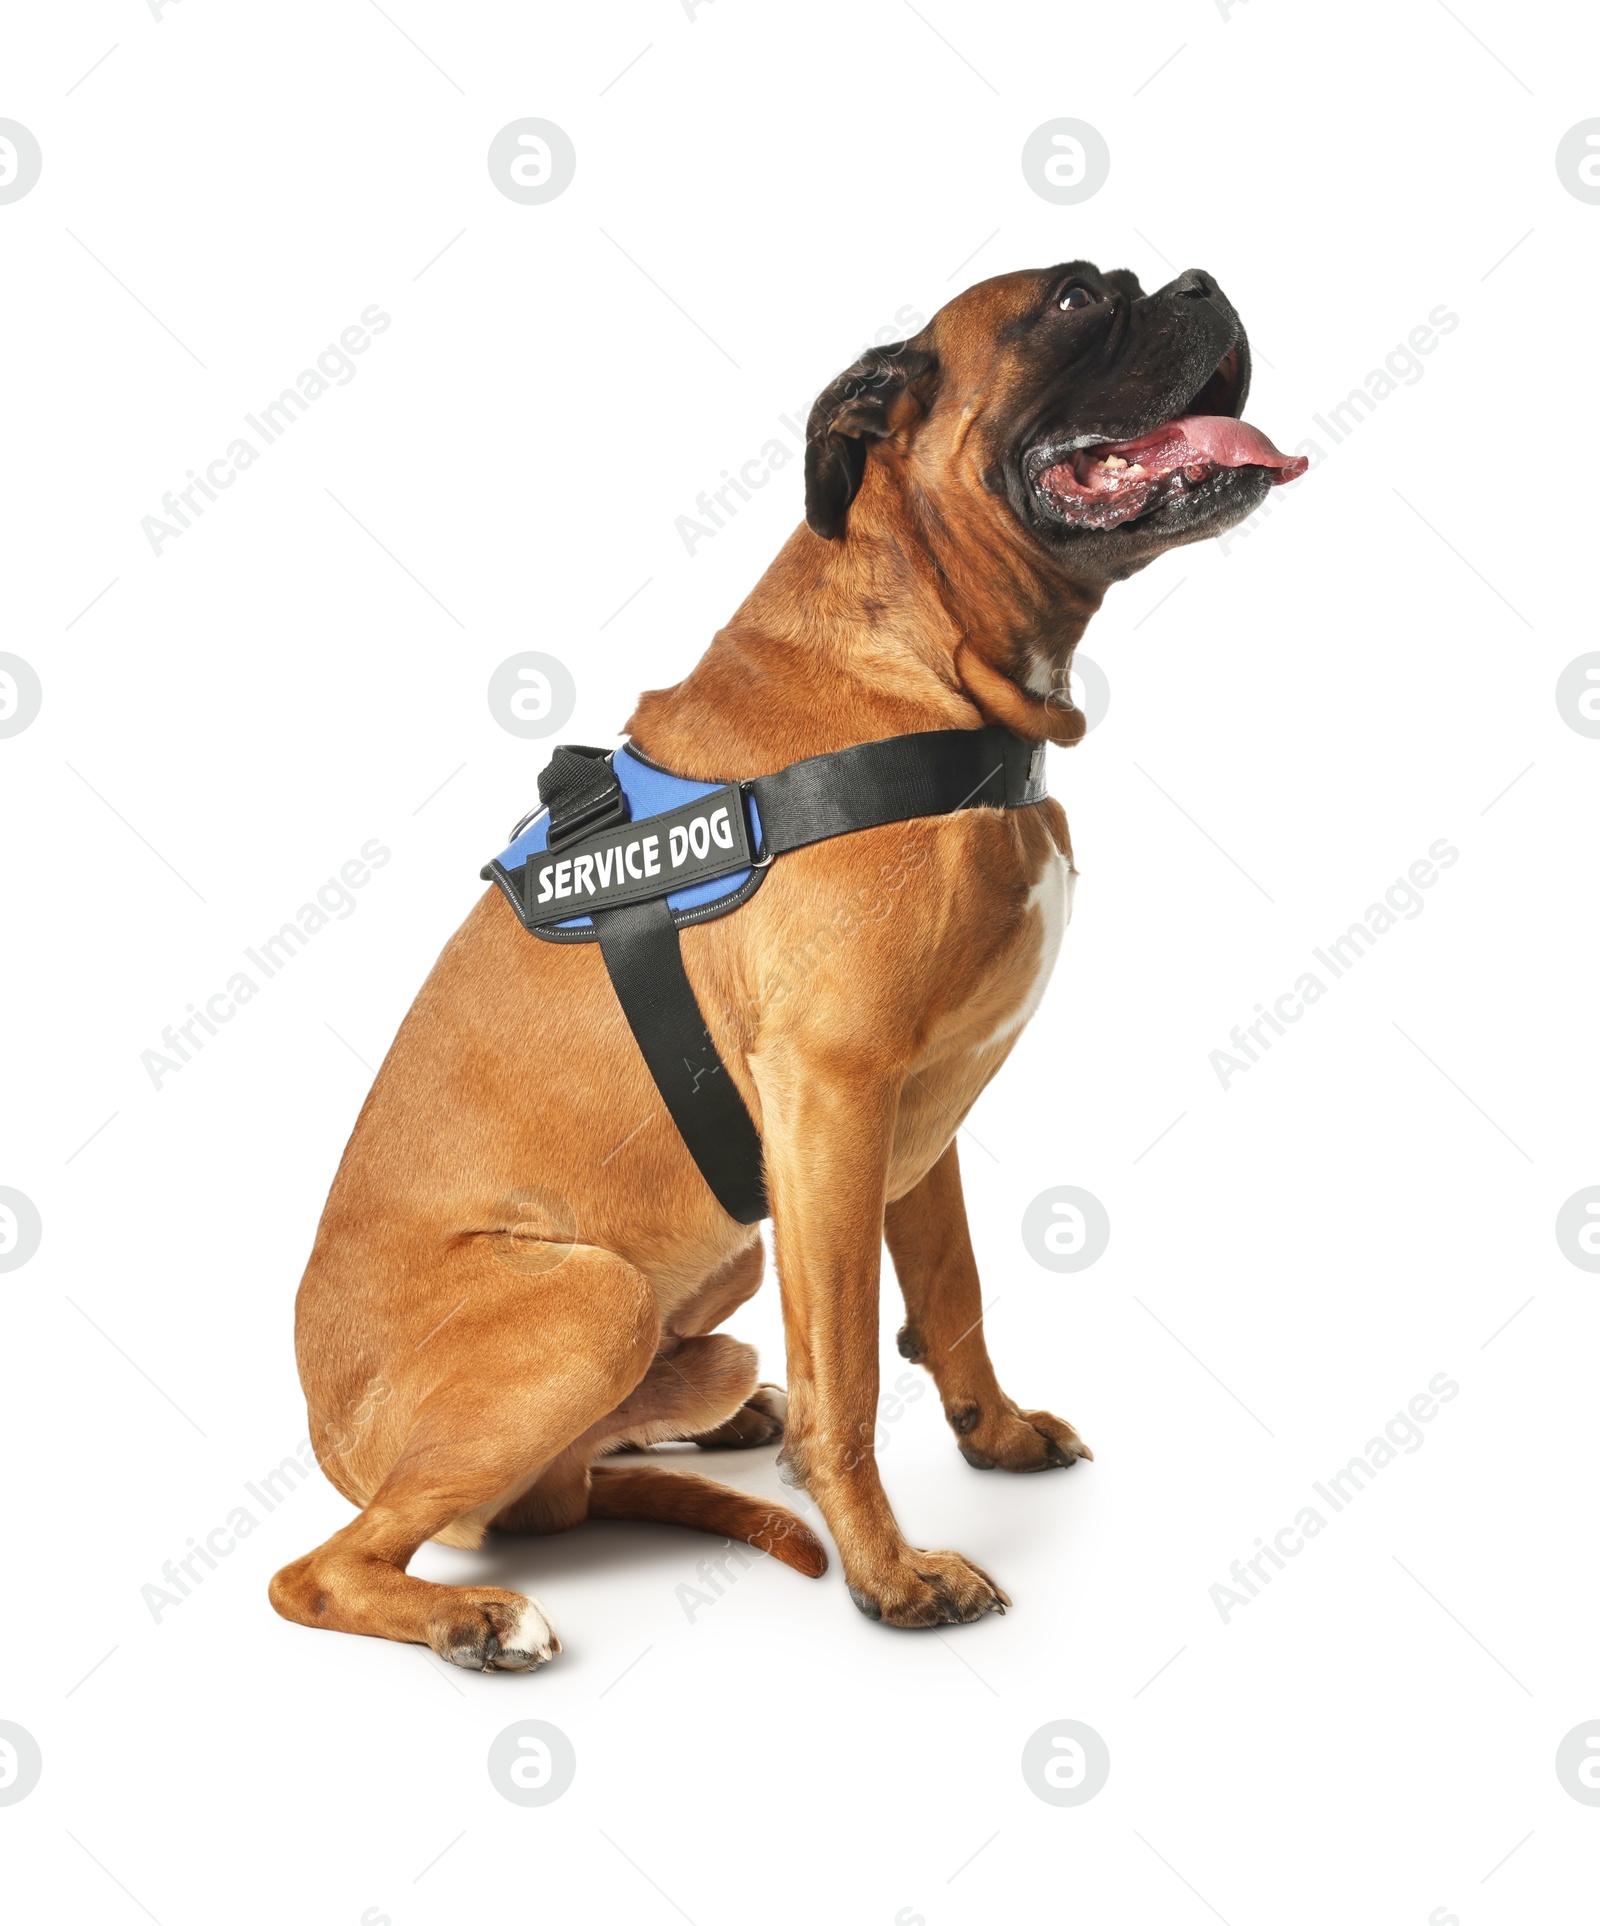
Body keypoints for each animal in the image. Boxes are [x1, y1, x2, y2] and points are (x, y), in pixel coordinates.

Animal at [269, 260, 1309, 1671]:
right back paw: (475, 1617)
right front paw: (889, 1576)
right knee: (324, 1570)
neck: (924, 657)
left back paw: (703, 1421)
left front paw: (993, 1435)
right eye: (1076, 301)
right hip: (591, 1300)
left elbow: (952, 1294)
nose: (1202, 282)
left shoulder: (914, 1122)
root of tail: (328, 1435)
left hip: (715, 1286)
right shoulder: (832, 1099)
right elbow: (850, 1374)